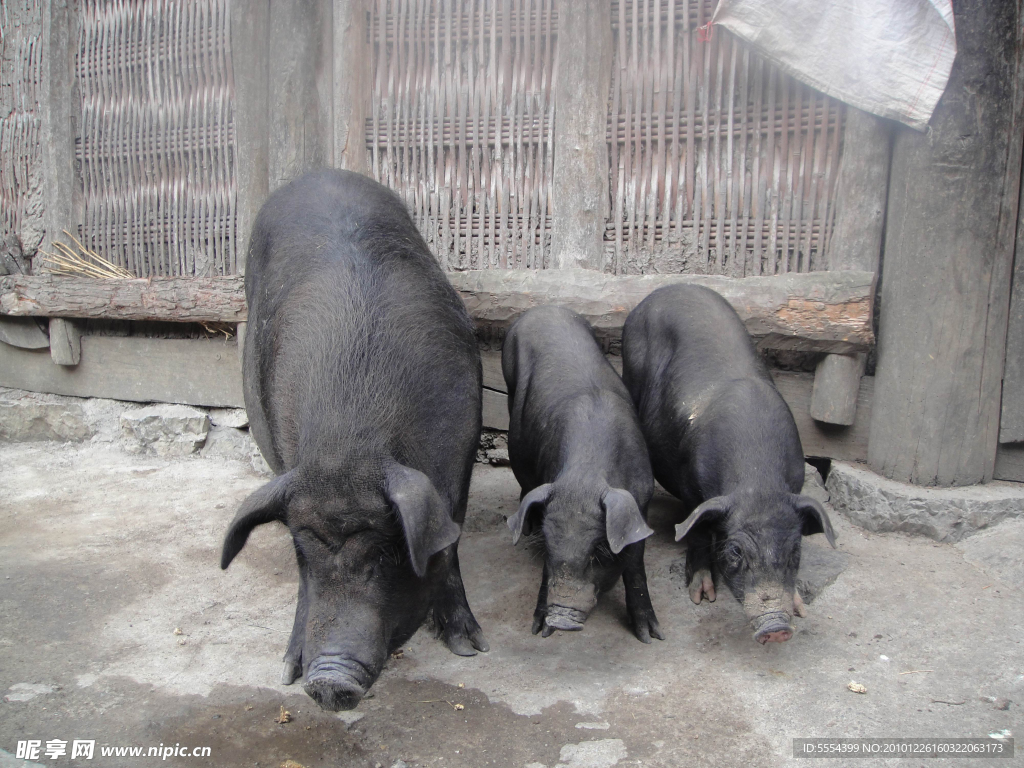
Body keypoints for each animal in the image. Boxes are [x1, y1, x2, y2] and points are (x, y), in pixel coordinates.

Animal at [219, 171, 487, 712]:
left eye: (387, 552)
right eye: (302, 551)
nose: (327, 680)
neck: (347, 446)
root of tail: (318, 173)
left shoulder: (462, 453)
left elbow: (449, 542)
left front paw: (469, 647)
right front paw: (286, 670)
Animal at [503, 305, 663, 643]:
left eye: (598, 551)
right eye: (548, 548)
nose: (561, 618)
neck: (585, 477)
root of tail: (543, 308)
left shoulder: (640, 502)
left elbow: (634, 565)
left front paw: (650, 636)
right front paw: (539, 630)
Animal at [618, 286, 835, 647]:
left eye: (795, 551)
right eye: (735, 552)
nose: (776, 627)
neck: (757, 481)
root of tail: (663, 290)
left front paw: (800, 607)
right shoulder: (692, 487)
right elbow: (697, 530)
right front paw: (701, 596)